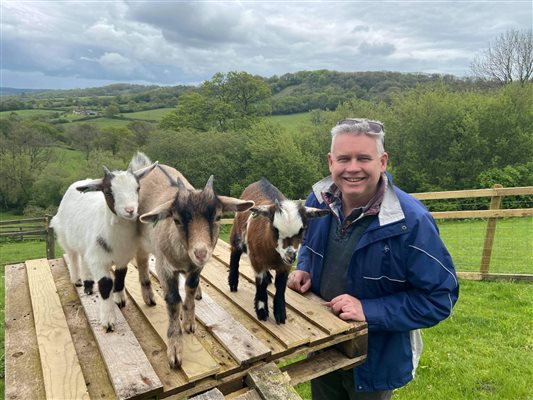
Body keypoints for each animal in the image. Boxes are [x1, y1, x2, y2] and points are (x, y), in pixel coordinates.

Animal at [49, 153, 158, 332]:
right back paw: (77, 280)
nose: (130, 210)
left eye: (138, 188)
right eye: (108, 191)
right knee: (73, 256)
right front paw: (108, 321)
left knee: (83, 258)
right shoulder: (99, 260)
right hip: (65, 236)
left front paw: (120, 300)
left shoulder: (122, 257)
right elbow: (106, 285)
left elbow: (120, 277)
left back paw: (87, 284)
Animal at [133, 154, 256, 368]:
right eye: (176, 220)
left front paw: (189, 322)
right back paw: (148, 296)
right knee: (141, 260)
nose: (200, 252)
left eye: (217, 217)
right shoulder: (164, 267)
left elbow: (190, 286)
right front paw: (175, 349)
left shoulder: (196, 268)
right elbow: (173, 301)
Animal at [229, 178, 328, 324]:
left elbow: (281, 286)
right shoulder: (256, 261)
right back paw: (233, 282)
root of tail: (261, 181)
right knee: (235, 254)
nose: (291, 256)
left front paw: (280, 313)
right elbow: (261, 283)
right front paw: (262, 310)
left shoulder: (285, 266)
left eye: (303, 229)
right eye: (275, 229)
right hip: (236, 232)